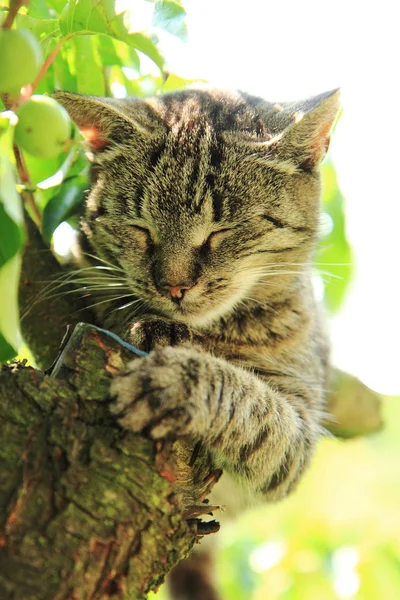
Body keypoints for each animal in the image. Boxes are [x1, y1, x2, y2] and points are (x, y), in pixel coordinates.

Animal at [54, 86, 340, 502]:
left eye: (221, 232)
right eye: (140, 228)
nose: (174, 286)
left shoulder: (298, 430)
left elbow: (254, 405)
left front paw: (175, 384)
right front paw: (151, 326)